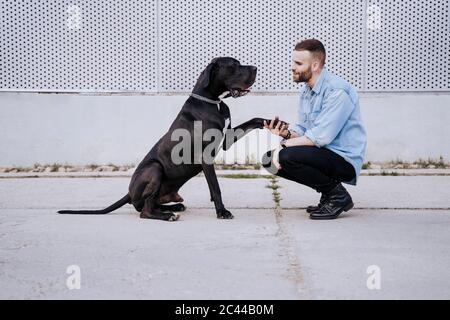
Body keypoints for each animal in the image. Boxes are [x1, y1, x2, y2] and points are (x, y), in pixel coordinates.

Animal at [59, 57, 284, 221]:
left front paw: (274, 123)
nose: (255, 68)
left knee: (149, 204)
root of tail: (129, 193)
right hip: (155, 169)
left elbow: (253, 120)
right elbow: (216, 187)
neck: (214, 101)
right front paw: (222, 212)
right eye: (234, 65)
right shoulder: (205, 157)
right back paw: (168, 215)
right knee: (144, 211)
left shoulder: (227, 139)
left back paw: (174, 206)